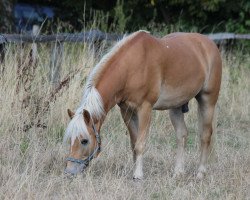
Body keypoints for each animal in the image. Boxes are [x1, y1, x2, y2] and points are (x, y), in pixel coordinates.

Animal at [63, 30, 222, 180]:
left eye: (84, 141)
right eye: (70, 139)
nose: (69, 172)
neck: (131, 67)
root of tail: (209, 43)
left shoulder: (145, 108)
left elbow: (140, 144)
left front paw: (138, 175)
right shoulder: (126, 110)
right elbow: (134, 143)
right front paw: (135, 170)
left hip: (208, 101)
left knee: (205, 135)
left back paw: (200, 173)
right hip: (176, 106)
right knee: (181, 135)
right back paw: (178, 172)